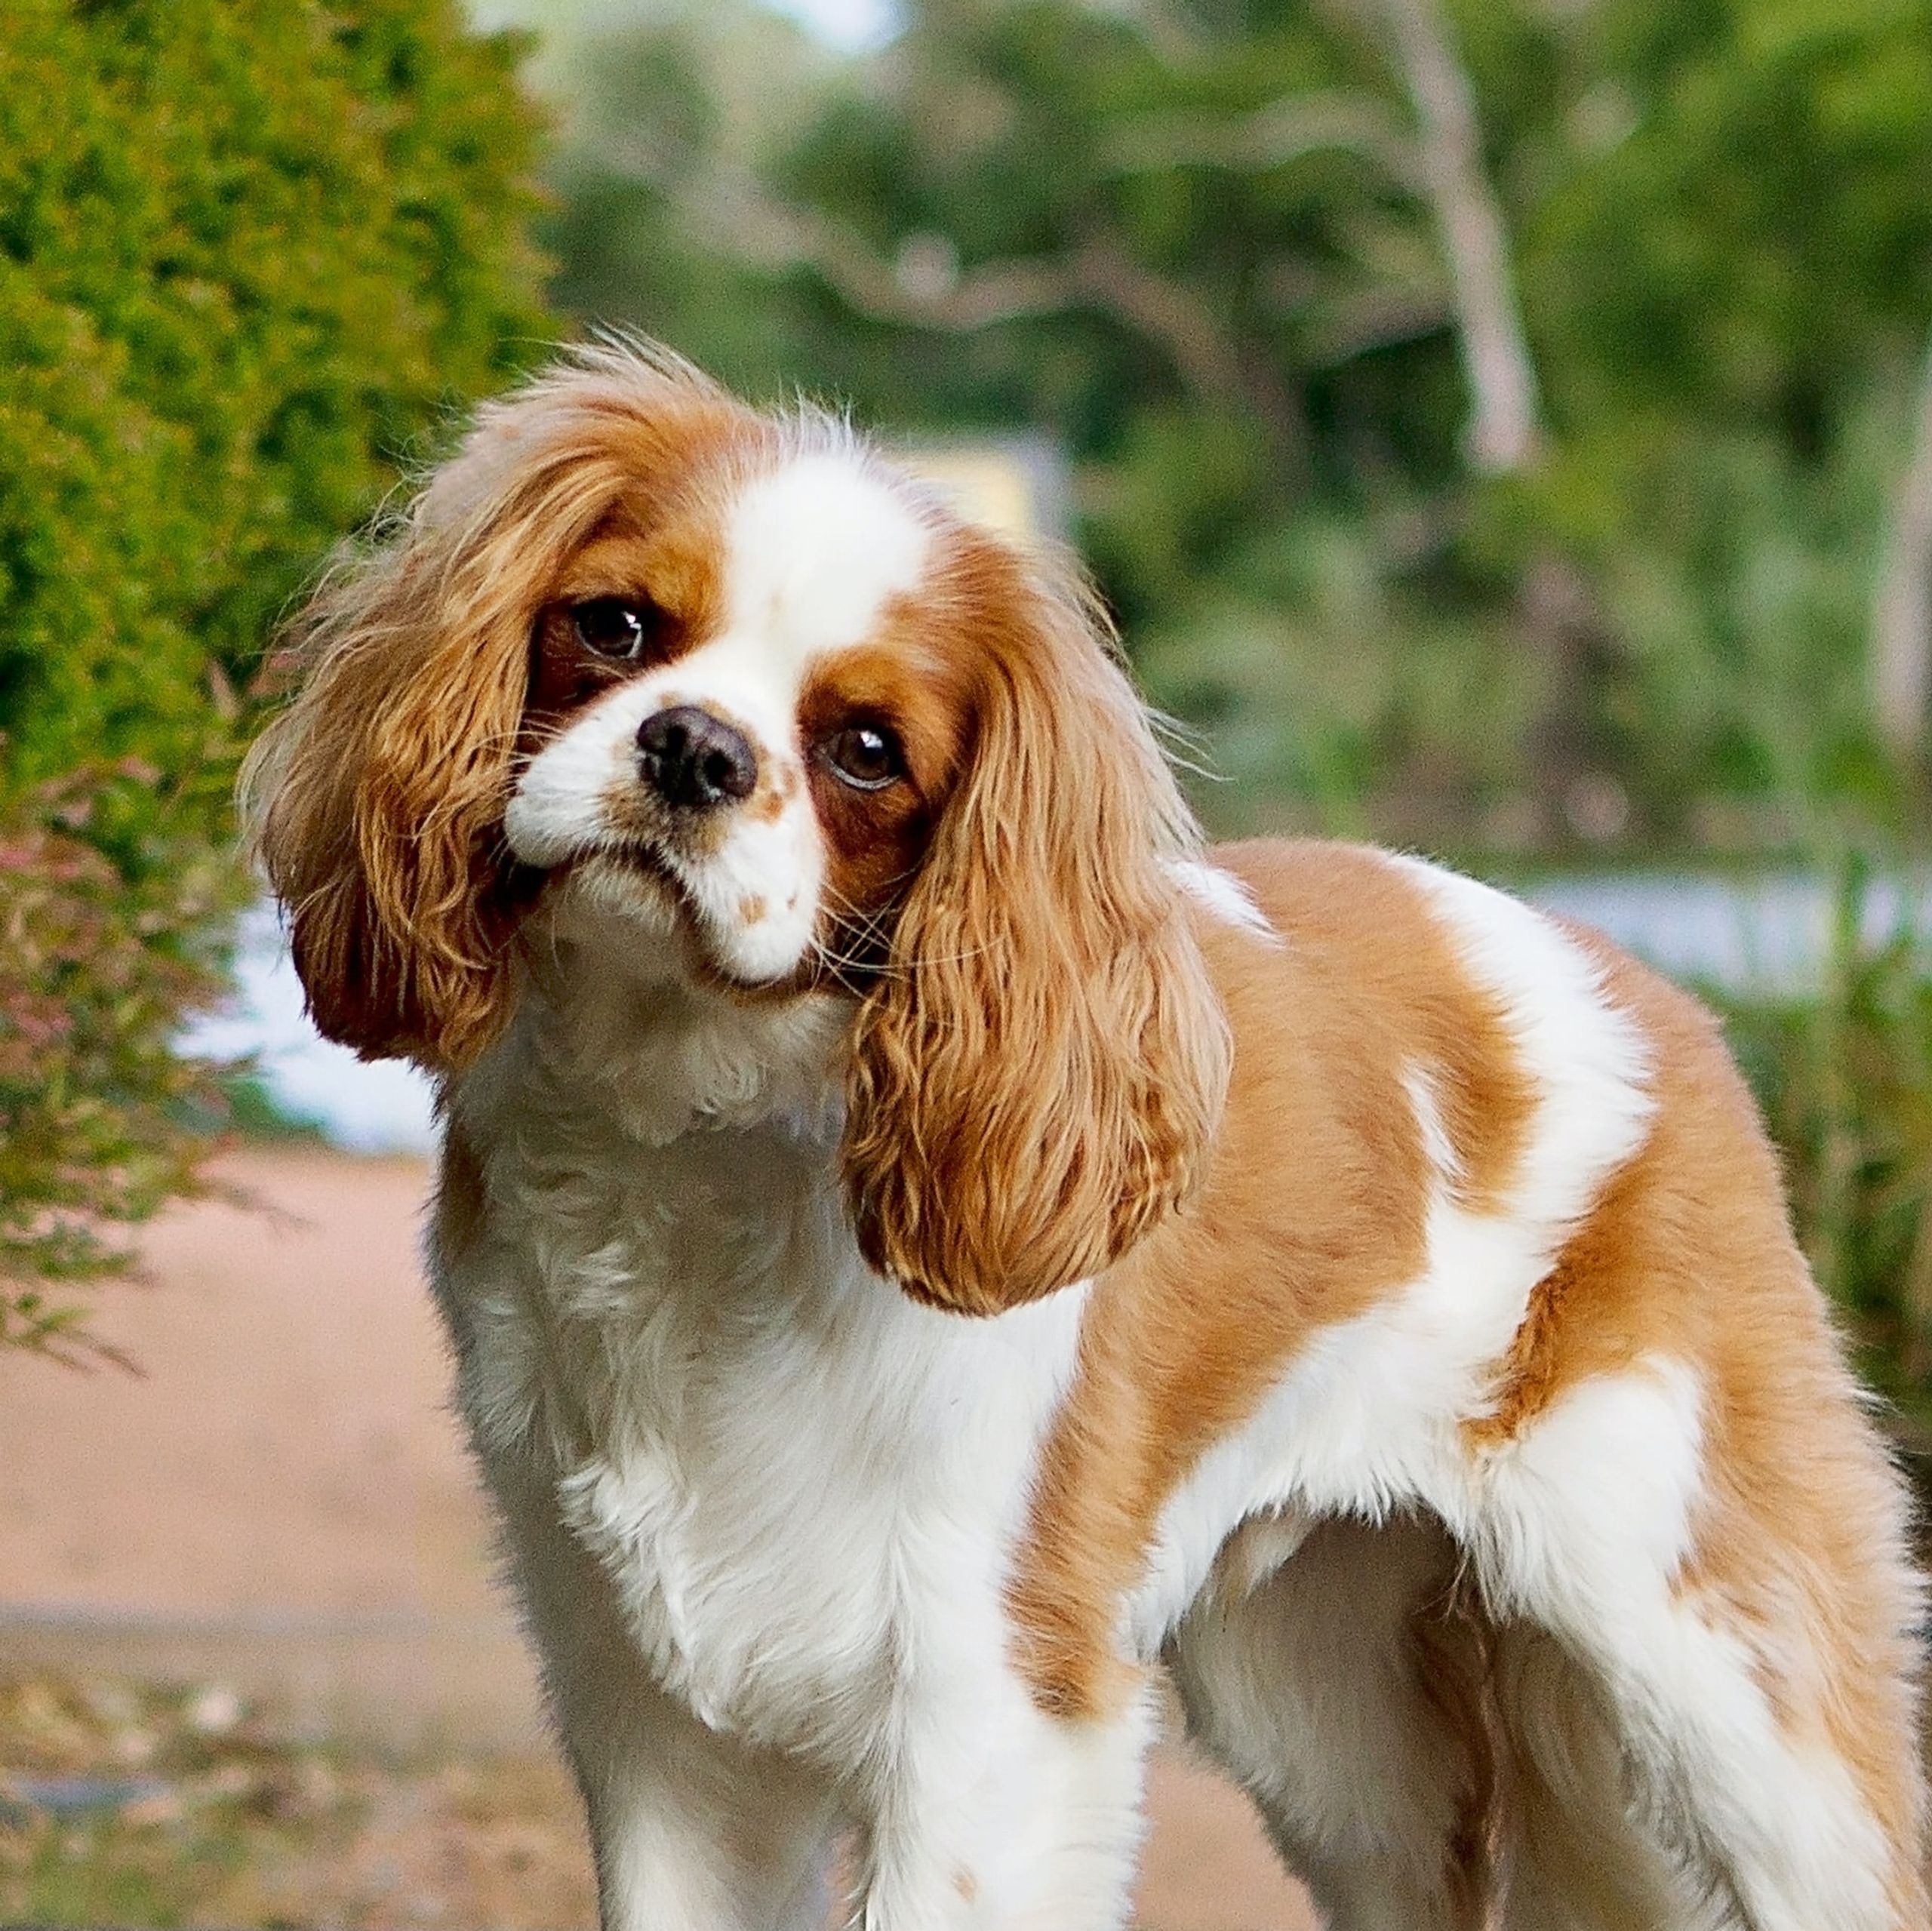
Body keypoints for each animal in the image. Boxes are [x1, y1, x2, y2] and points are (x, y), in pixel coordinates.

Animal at [249, 347, 1924, 1931]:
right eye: (612, 627)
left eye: (865, 748)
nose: (692, 749)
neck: (694, 1139)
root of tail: (1649, 985)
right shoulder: (660, 1726)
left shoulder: (988, 1709)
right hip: (1319, 1697)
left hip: (1720, 1669)